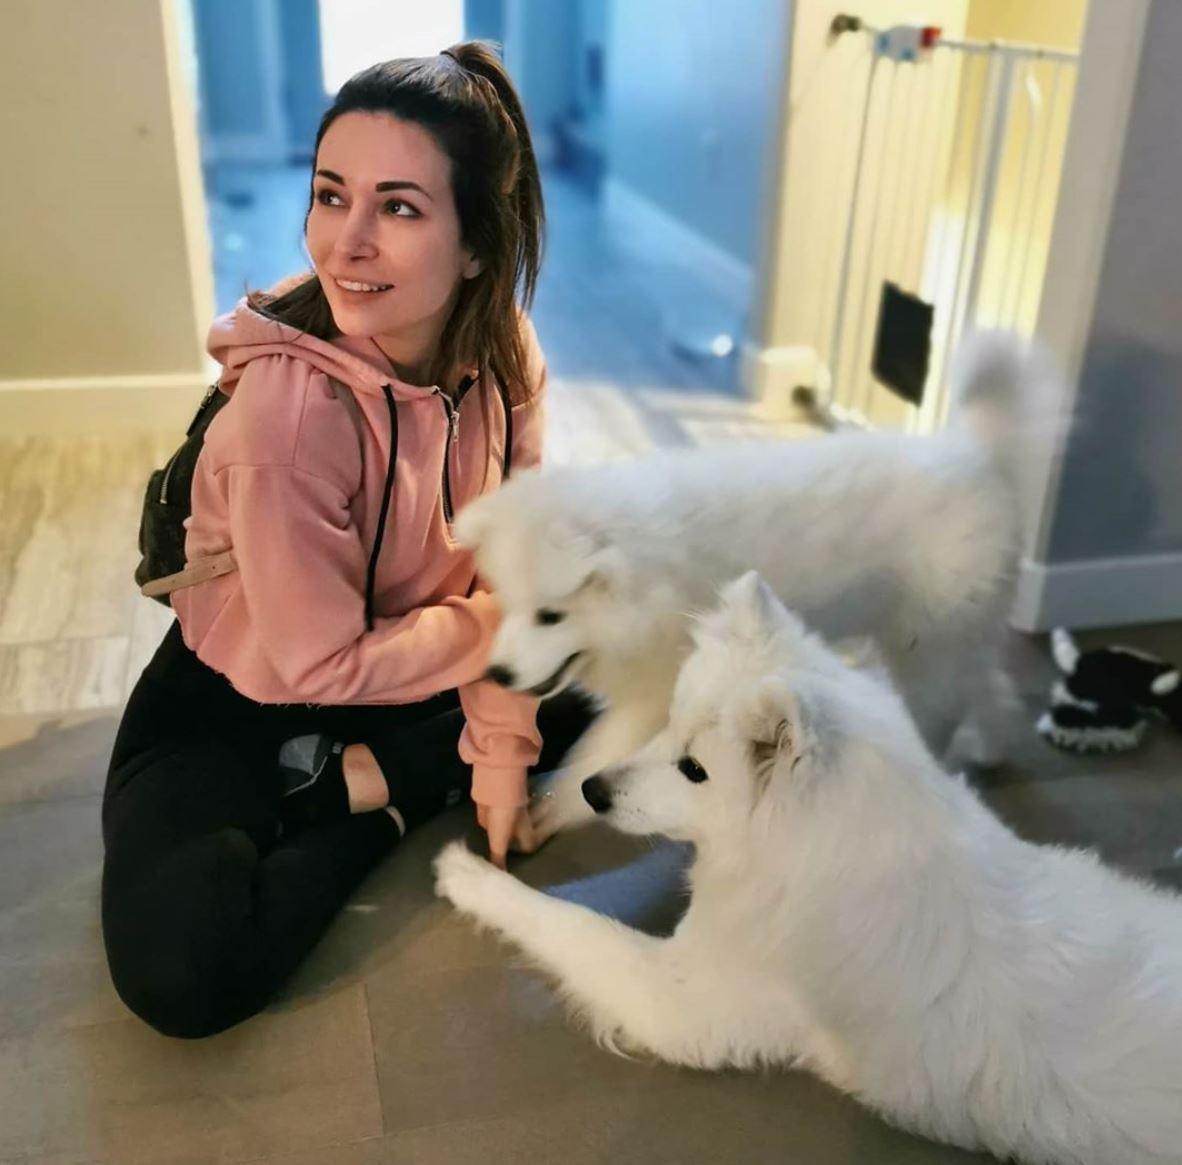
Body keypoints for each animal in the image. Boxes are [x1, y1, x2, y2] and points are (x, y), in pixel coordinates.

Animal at [439, 574, 1182, 1162]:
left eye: (694, 768)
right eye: (669, 724)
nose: (593, 790)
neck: (820, 848)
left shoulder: (683, 999)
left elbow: (567, 921)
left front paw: (467, 874)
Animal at [456, 326, 1059, 836]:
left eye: (550, 615)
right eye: (508, 606)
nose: (497, 674)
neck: (645, 579)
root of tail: (978, 454)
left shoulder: (653, 695)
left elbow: (596, 752)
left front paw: (549, 809)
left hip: (929, 645)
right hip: (949, 632)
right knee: (985, 679)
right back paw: (994, 742)